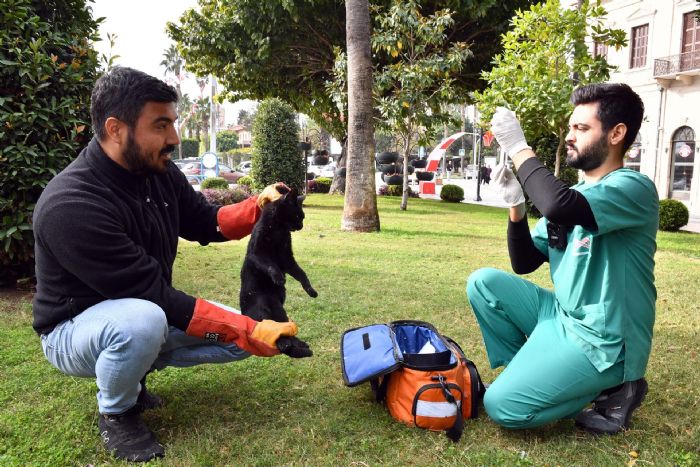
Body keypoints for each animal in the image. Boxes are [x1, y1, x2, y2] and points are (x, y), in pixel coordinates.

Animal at [241, 186, 318, 358]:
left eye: (303, 217)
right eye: (298, 216)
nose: (301, 226)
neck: (278, 230)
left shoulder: (286, 258)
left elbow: (302, 274)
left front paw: (310, 290)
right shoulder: (258, 253)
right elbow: (270, 265)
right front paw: (278, 278)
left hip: (280, 312)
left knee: (284, 333)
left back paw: (301, 346)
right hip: (262, 308)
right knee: (272, 333)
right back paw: (287, 345)